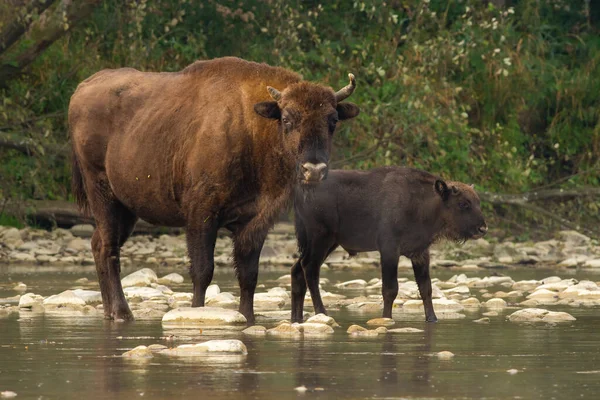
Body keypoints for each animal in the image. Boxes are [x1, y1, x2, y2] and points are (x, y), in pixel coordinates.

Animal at [70, 57, 360, 324]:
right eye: (287, 119)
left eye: (333, 120)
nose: (314, 170)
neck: (253, 127)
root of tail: (80, 90)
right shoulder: (202, 215)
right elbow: (203, 271)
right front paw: (197, 312)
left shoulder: (254, 221)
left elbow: (248, 274)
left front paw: (247, 318)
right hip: (102, 193)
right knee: (109, 248)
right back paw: (122, 313)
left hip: (127, 208)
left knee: (98, 244)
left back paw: (111, 312)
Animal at [290, 167, 488, 324]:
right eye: (463, 203)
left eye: (478, 202)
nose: (483, 228)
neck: (423, 203)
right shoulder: (389, 250)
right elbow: (390, 289)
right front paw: (386, 318)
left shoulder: (420, 252)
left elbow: (426, 288)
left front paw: (432, 319)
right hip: (321, 239)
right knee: (310, 269)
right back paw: (322, 313)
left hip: (328, 243)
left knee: (297, 269)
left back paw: (296, 319)